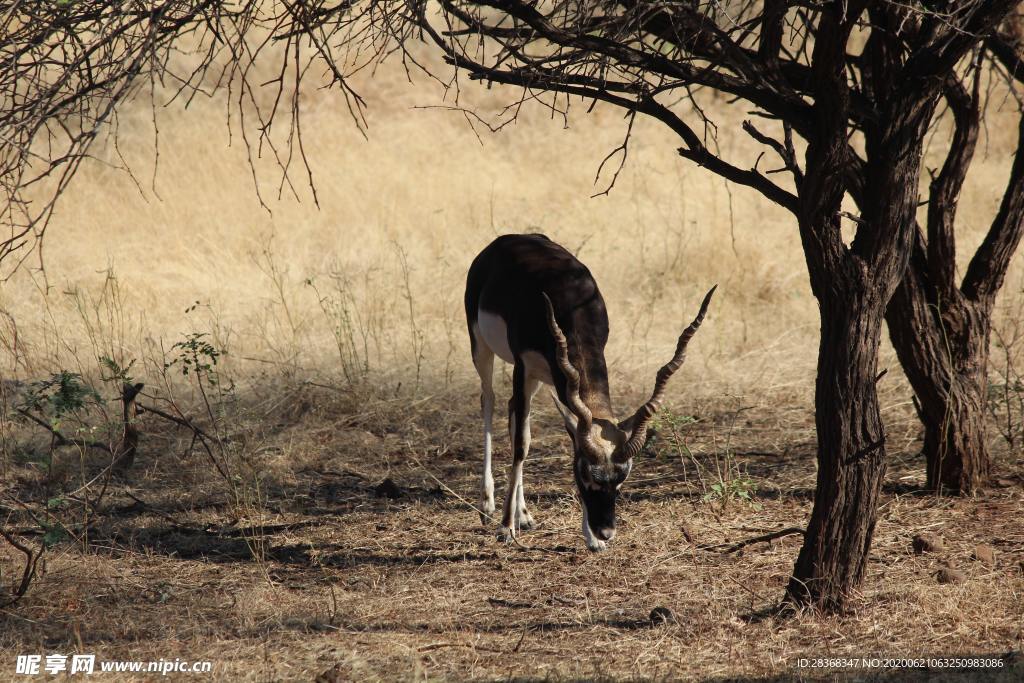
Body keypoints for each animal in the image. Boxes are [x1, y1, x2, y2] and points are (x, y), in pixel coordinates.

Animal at [468, 233, 716, 548]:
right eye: (586, 476)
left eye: (620, 481)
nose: (606, 530)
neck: (568, 302)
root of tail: (508, 239)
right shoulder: (522, 365)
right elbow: (522, 445)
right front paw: (505, 528)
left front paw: (592, 540)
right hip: (482, 347)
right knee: (489, 401)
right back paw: (487, 506)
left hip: (537, 377)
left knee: (513, 410)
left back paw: (524, 514)